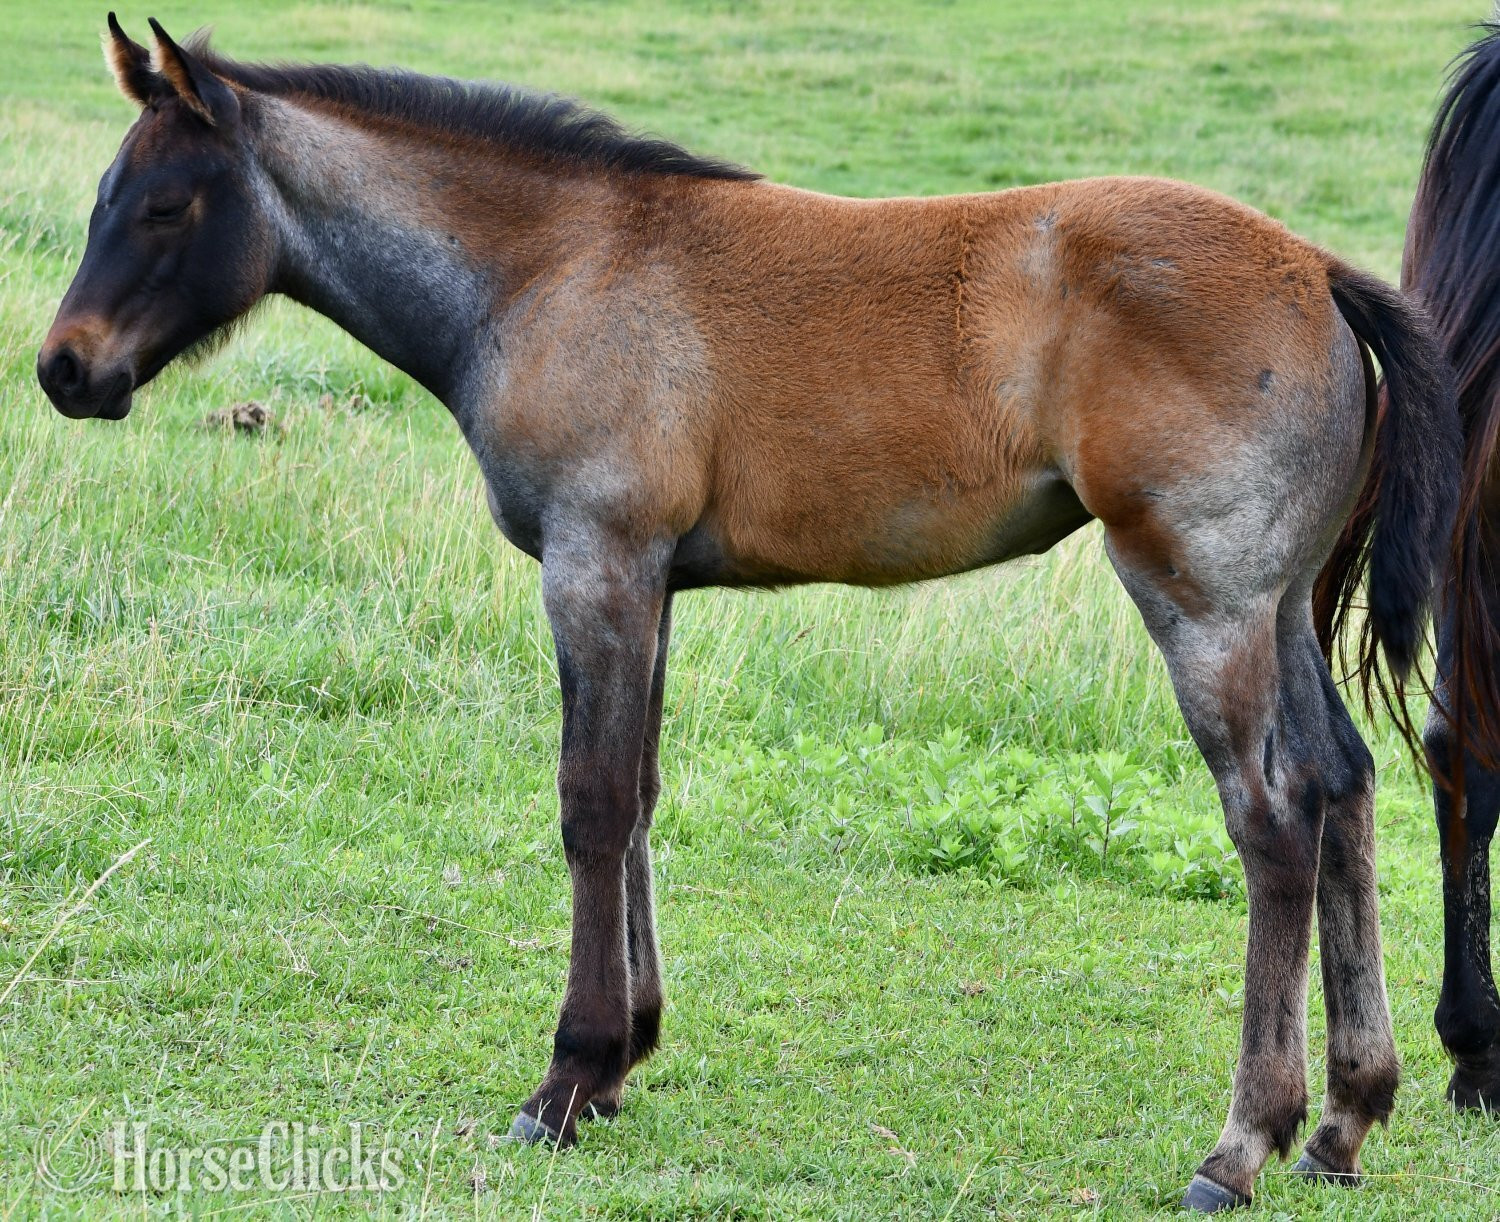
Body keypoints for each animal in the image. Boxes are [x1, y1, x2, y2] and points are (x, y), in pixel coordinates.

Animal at [37, 17, 1464, 1211]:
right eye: (104, 198)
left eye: (164, 204)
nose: (65, 370)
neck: (549, 268)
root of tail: (1314, 269)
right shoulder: (649, 580)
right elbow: (639, 795)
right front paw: (624, 1059)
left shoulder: (595, 562)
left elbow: (591, 802)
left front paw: (567, 1077)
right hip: (1277, 608)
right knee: (1342, 787)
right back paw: (1345, 1120)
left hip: (1201, 597)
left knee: (1272, 821)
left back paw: (1243, 1142)